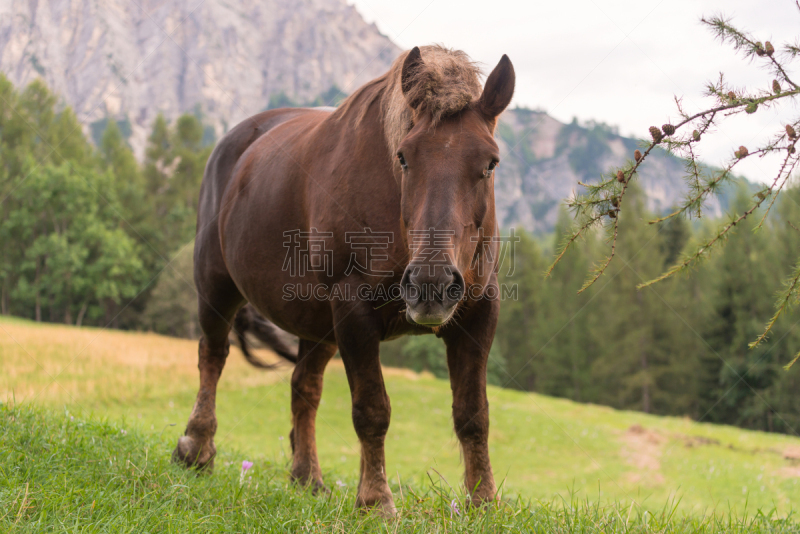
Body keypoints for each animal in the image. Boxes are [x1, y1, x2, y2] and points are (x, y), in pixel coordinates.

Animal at [172, 47, 516, 520]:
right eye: (404, 157)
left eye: (490, 163)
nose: (430, 283)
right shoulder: (353, 309)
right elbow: (372, 410)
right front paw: (375, 500)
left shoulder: (479, 311)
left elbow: (473, 414)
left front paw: (483, 502)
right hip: (216, 286)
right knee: (213, 356)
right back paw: (196, 448)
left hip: (316, 323)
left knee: (304, 386)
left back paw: (307, 477)